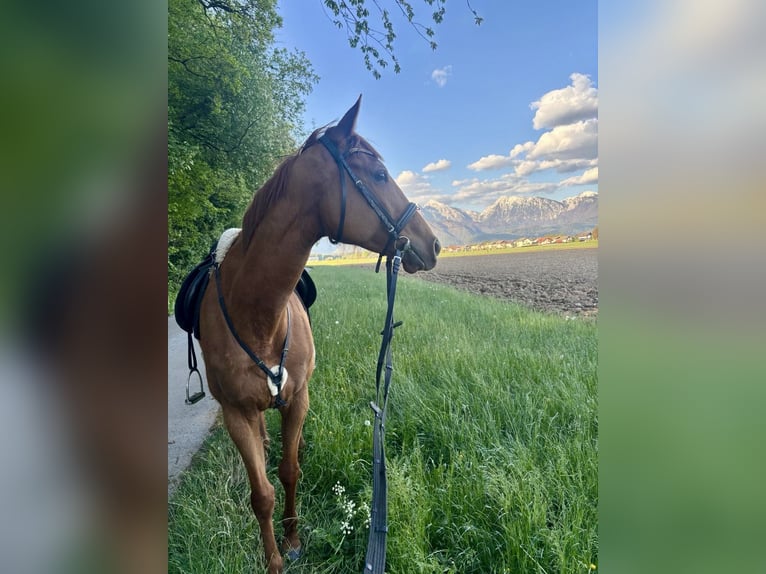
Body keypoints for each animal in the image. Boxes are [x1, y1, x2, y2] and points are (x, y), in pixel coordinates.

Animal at [197, 96, 440, 573]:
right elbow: (262, 493)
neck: (258, 313)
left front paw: (292, 540)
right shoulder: (236, 413)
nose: (434, 244)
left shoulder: (299, 398)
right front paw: (274, 559)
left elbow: (289, 472)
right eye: (379, 175)